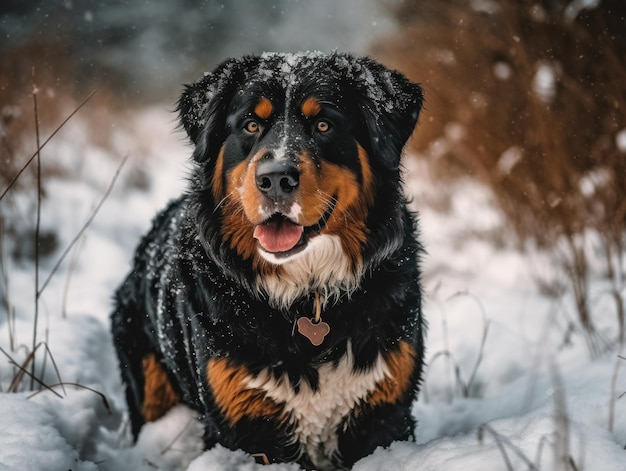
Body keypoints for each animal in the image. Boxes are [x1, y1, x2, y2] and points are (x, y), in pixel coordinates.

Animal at [111, 52, 424, 471]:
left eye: (323, 124)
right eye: (251, 124)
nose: (275, 178)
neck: (307, 294)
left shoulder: (385, 411)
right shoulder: (244, 423)